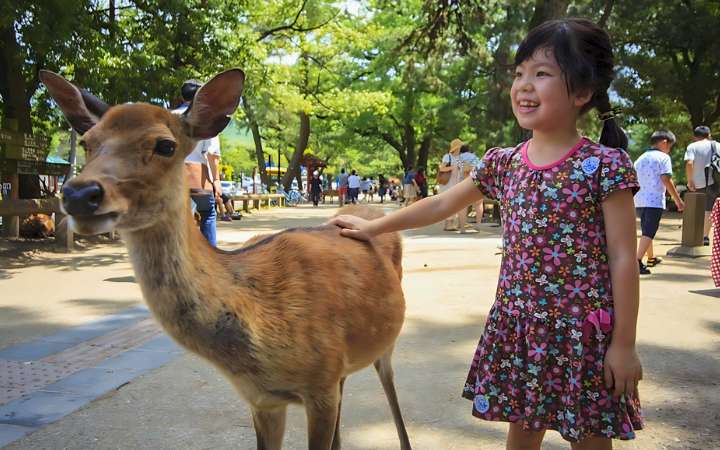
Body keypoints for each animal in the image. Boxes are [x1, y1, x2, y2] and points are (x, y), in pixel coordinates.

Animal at [39, 69, 412, 450]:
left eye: (165, 145)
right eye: (87, 141)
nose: (79, 194)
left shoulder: (321, 383)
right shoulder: (263, 399)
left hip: (385, 341)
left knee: (389, 383)